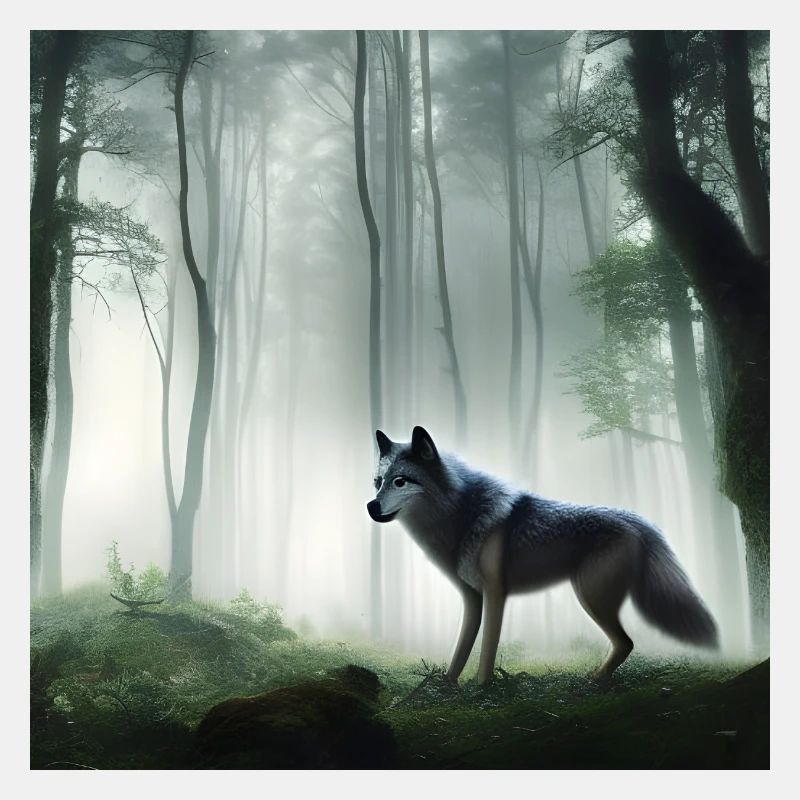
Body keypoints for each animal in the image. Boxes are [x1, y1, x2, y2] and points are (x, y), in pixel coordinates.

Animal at [367, 426, 718, 684]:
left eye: (401, 481)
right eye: (378, 482)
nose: (370, 506)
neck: (461, 514)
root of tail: (639, 520)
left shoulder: (496, 594)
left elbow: (487, 647)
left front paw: (480, 688)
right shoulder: (472, 598)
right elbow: (461, 647)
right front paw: (447, 686)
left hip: (590, 596)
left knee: (626, 642)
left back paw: (594, 680)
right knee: (624, 643)